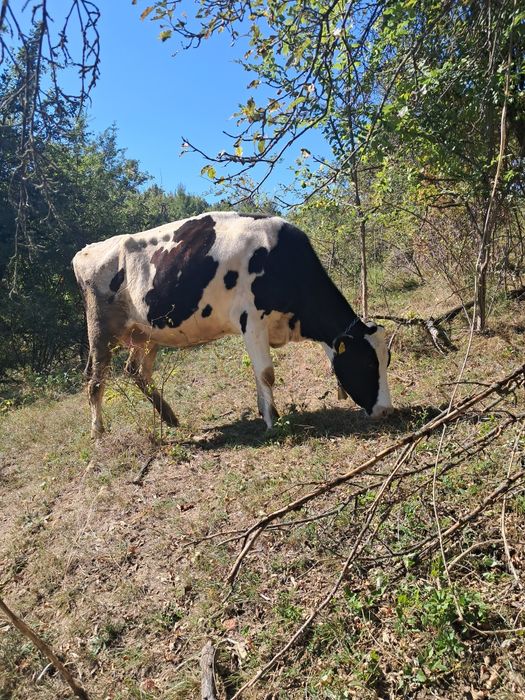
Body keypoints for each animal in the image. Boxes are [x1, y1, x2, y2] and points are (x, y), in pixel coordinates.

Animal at [72, 212, 393, 438]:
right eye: (366, 362)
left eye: (386, 360)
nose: (386, 410)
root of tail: (85, 251)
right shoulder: (251, 321)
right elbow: (266, 374)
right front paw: (274, 422)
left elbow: (258, 375)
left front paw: (265, 412)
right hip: (100, 330)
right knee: (95, 379)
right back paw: (98, 432)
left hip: (146, 333)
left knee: (136, 371)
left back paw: (170, 419)